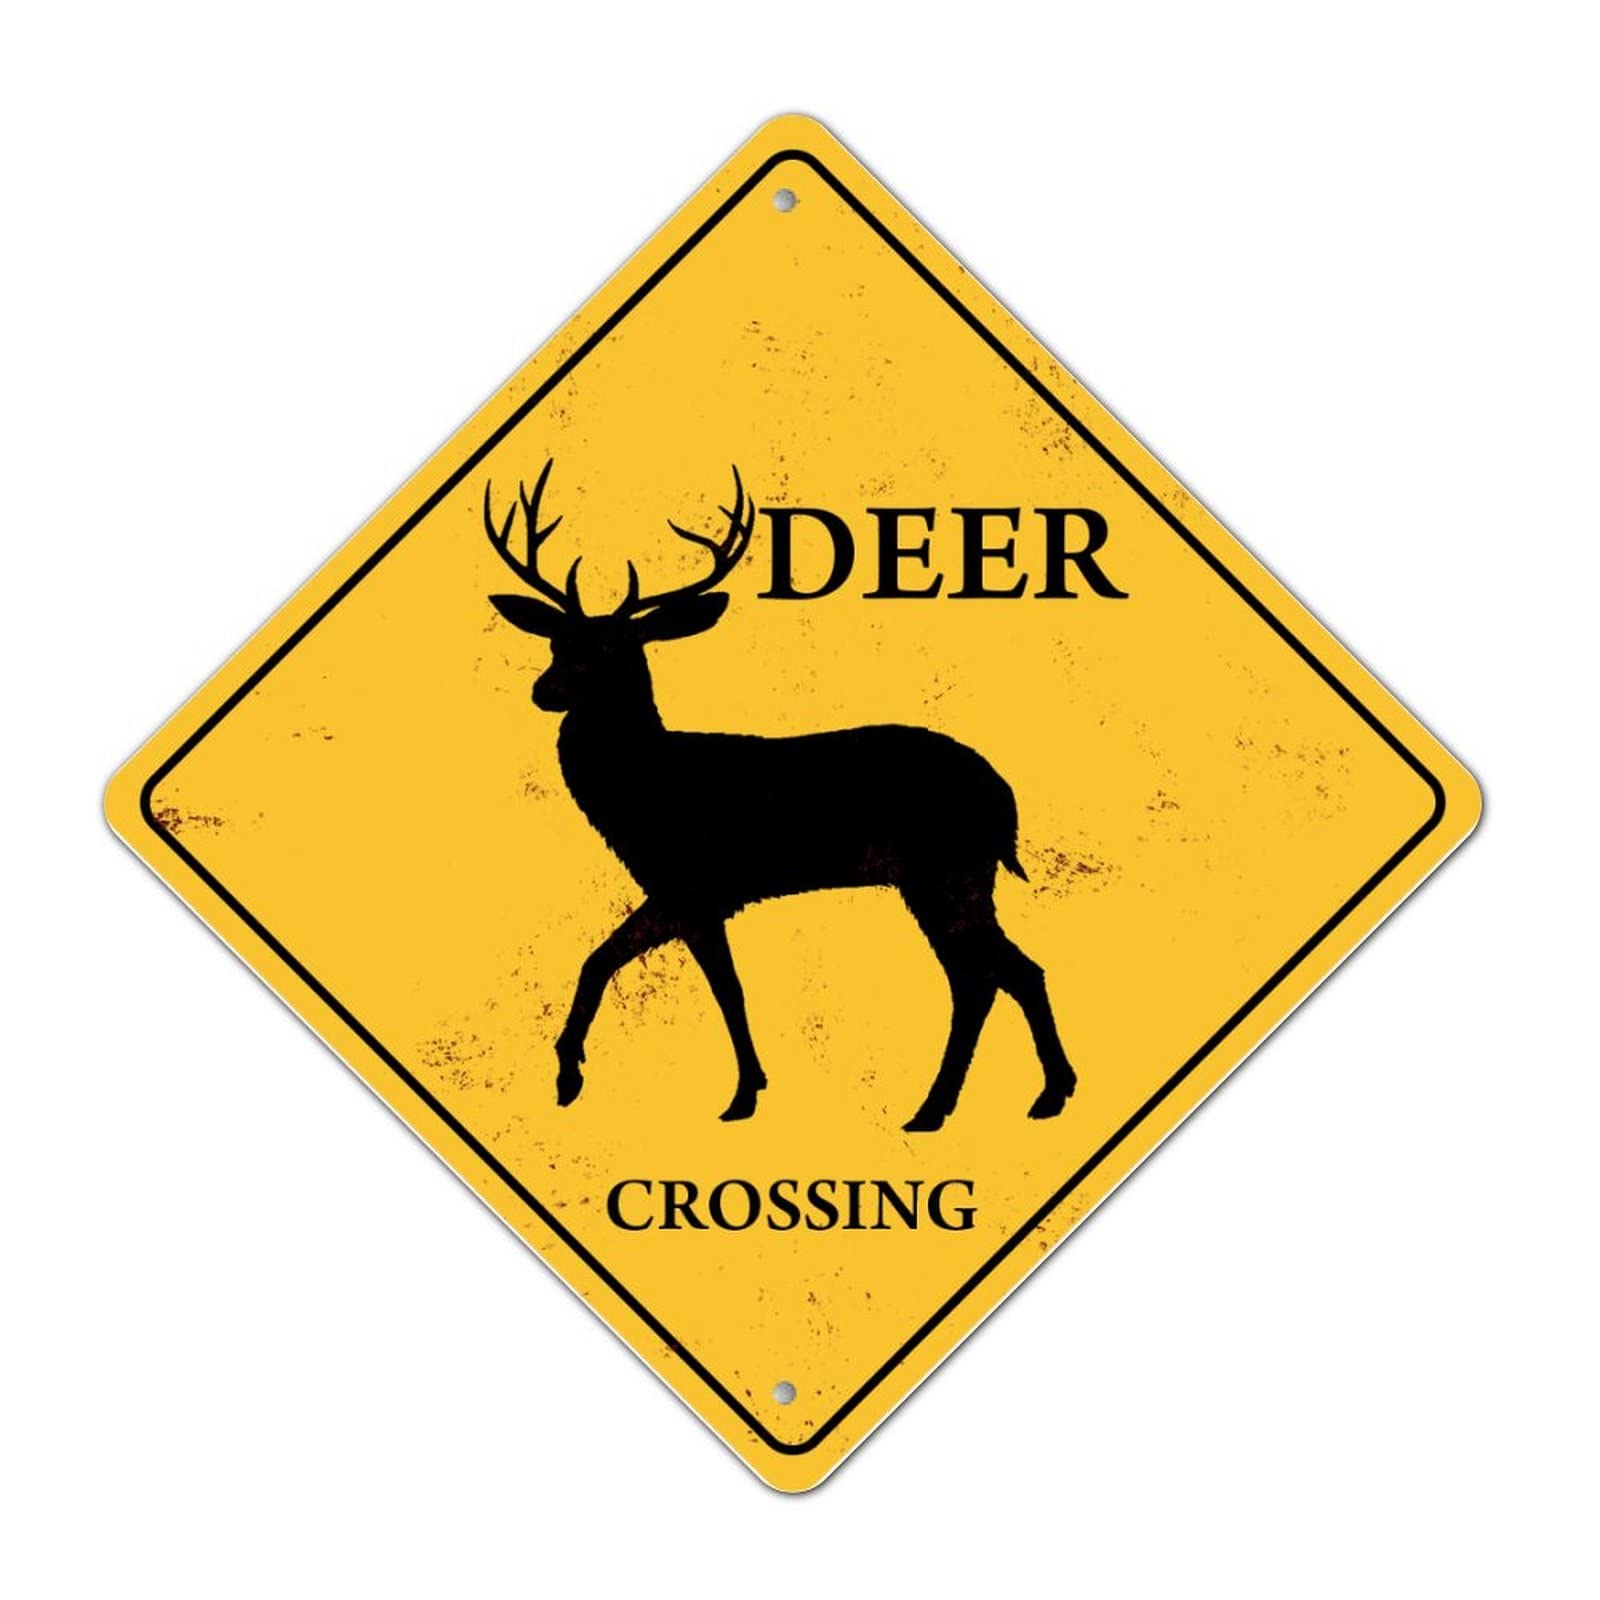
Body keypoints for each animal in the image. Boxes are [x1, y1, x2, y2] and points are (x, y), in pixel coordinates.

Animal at [483, 460, 1077, 1133]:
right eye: (556, 643)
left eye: (613, 648)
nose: (544, 690)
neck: (650, 783)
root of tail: (1004, 799)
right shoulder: (681, 891)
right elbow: (605, 962)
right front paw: (569, 1078)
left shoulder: (694, 883)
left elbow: (722, 989)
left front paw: (742, 1095)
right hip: (952, 875)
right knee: (1000, 973)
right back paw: (1008, 1099)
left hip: (945, 870)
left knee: (988, 976)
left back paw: (966, 1104)